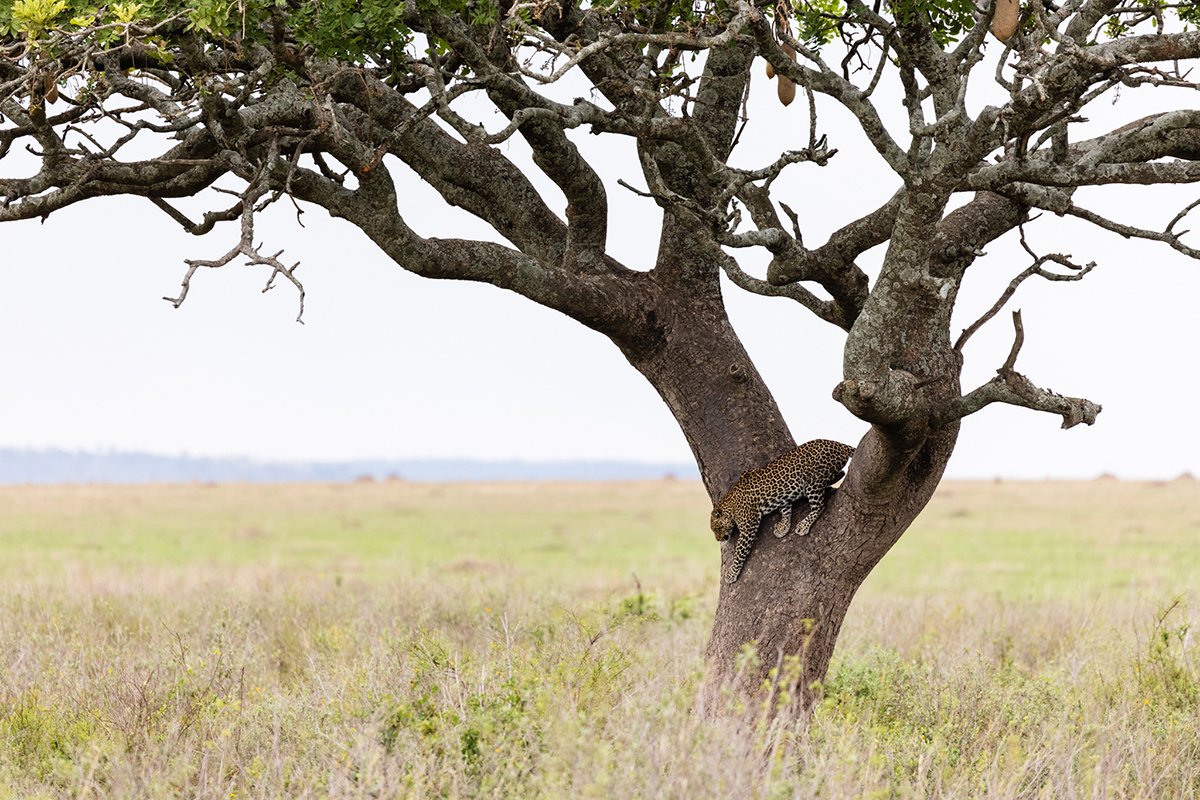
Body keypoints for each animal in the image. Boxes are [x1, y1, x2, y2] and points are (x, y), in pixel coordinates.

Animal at [710, 439, 855, 584]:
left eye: (716, 529)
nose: (718, 539)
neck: (730, 504)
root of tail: (838, 445)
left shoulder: (748, 529)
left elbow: (739, 553)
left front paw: (731, 573)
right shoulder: (777, 493)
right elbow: (785, 509)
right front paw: (783, 527)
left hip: (813, 482)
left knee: (820, 506)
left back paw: (804, 525)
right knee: (839, 475)